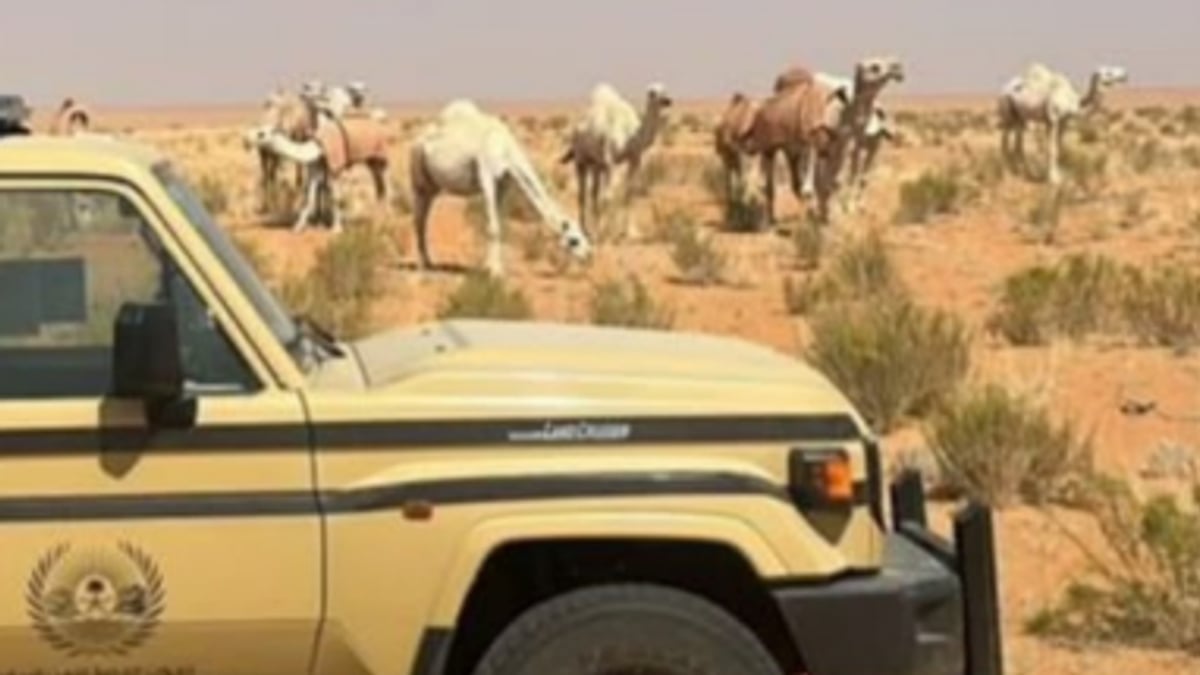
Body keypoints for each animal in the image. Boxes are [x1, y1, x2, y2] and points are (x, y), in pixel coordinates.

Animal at [247, 105, 391, 233]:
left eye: (261, 134)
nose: (246, 139)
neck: (317, 147)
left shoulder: (334, 168)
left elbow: (334, 197)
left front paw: (336, 229)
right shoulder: (316, 169)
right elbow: (309, 198)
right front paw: (298, 228)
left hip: (380, 157)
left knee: (385, 187)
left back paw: (385, 219)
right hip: (371, 161)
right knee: (380, 189)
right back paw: (378, 219)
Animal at [411, 100, 593, 277]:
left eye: (583, 235)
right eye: (574, 240)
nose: (589, 255)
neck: (505, 149)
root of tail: (418, 140)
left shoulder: (504, 183)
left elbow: (501, 225)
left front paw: (494, 267)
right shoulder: (486, 178)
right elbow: (493, 227)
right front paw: (495, 271)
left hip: (432, 187)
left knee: (424, 217)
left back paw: (428, 261)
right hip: (418, 178)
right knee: (419, 219)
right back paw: (424, 264)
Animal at [560, 82, 674, 238]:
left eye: (665, 89)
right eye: (652, 92)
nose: (668, 100)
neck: (631, 135)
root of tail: (576, 127)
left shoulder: (635, 159)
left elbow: (629, 193)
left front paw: (629, 231)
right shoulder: (610, 162)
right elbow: (608, 196)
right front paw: (604, 232)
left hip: (596, 164)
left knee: (594, 192)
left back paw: (593, 226)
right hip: (581, 160)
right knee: (582, 194)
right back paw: (585, 229)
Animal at [998, 63, 1129, 185]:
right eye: (1108, 72)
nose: (1124, 75)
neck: (1071, 100)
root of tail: (1005, 88)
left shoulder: (1063, 122)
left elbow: (1060, 147)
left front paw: (1060, 174)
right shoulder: (1053, 120)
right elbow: (1052, 149)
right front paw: (1053, 179)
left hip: (1020, 117)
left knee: (1018, 143)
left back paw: (1025, 172)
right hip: (1006, 111)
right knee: (1005, 141)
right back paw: (1007, 173)